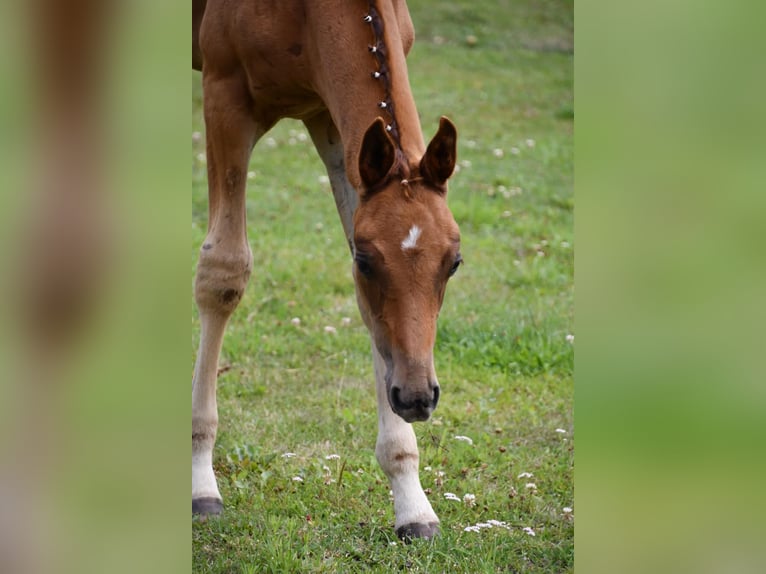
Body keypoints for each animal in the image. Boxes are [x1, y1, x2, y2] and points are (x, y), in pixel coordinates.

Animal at [192, 0, 462, 541]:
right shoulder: (223, 92)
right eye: (366, 262)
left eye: (455, 264)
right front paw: (201, 483)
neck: (308, 12)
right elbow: (223, 270)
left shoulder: (331, 120)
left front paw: (412, 502)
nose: (417, 397)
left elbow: (373, 319)